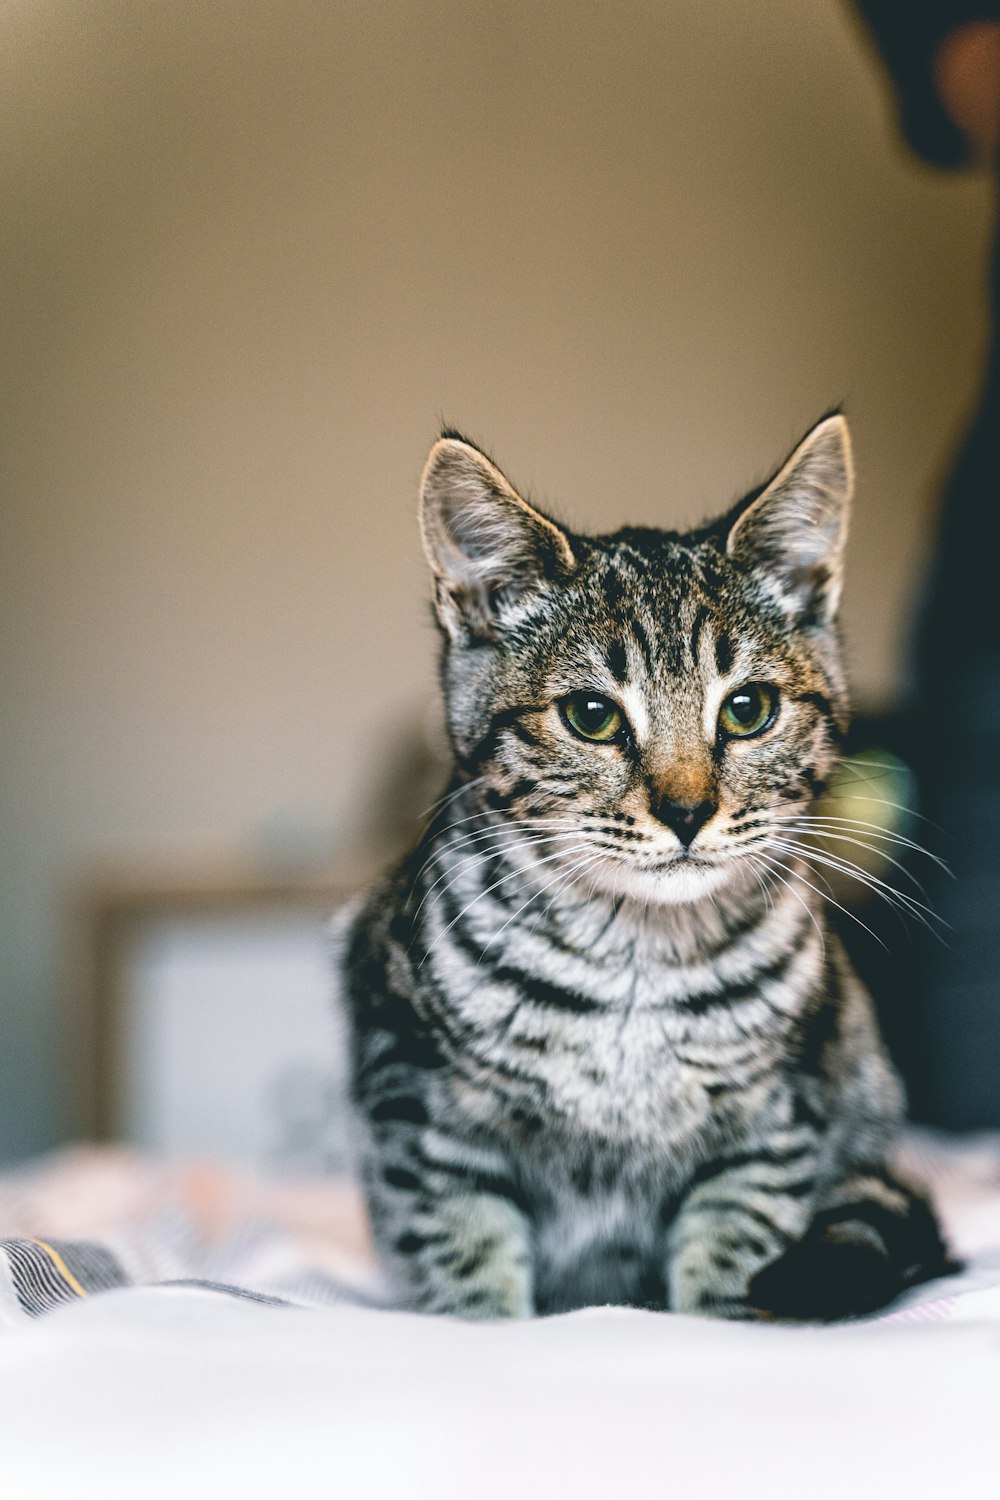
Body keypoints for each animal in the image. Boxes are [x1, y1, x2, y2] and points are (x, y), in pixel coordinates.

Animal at [332, 417, 953, 1320]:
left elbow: (734, 1241)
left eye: (748, 709)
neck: (636, 965)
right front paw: (485, 1322)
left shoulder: (774, 1120)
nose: (687, 809)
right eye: (592, 716)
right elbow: (462, 1251)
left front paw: (721, 1316)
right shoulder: (419, 1105)